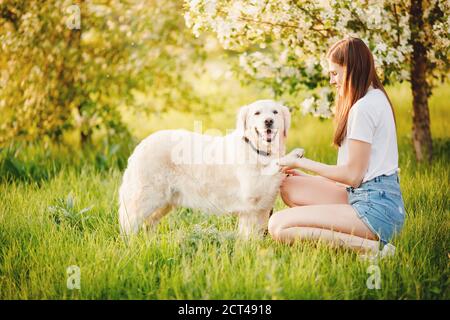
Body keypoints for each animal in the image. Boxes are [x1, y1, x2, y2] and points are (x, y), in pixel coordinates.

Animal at [118, 99, 302, 238]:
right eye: (257, 113)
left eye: (275, 112)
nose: (268, 121)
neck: (258, 150)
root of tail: (141, 146)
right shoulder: (253, 189)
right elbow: (275, 165)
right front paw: (294, 155)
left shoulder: (259, 210)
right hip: (146, 198)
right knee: (129, 223)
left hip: (164, 202)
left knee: (148, 224)